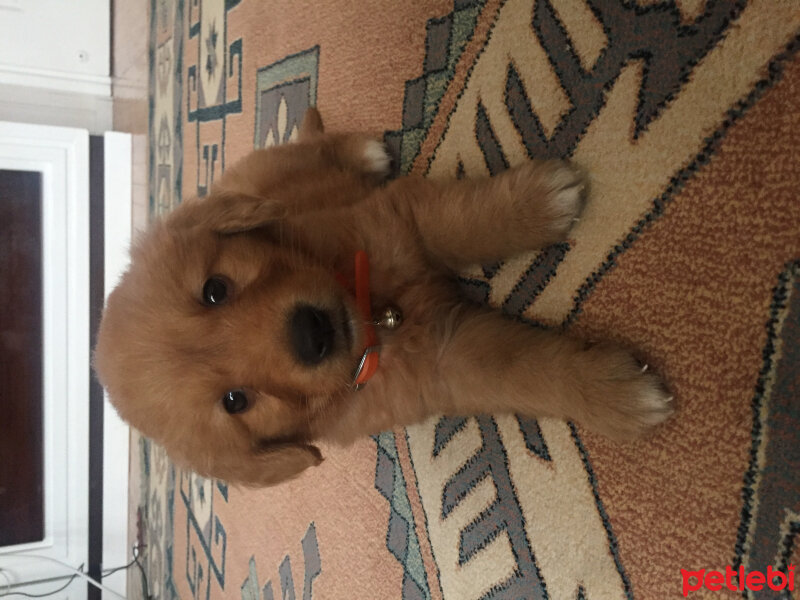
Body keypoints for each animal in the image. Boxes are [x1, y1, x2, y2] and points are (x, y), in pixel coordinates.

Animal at [94, 108, 672, 488]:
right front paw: (615, 397)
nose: (311, 333)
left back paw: (361, 152)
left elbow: (468, 219)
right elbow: (526, 372)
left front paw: (535, 203)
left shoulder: (403, 220)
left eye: (215, 291)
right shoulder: (446, 362)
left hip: (270, 172)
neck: (377, 314)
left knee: (306, 151)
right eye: (236, 401)